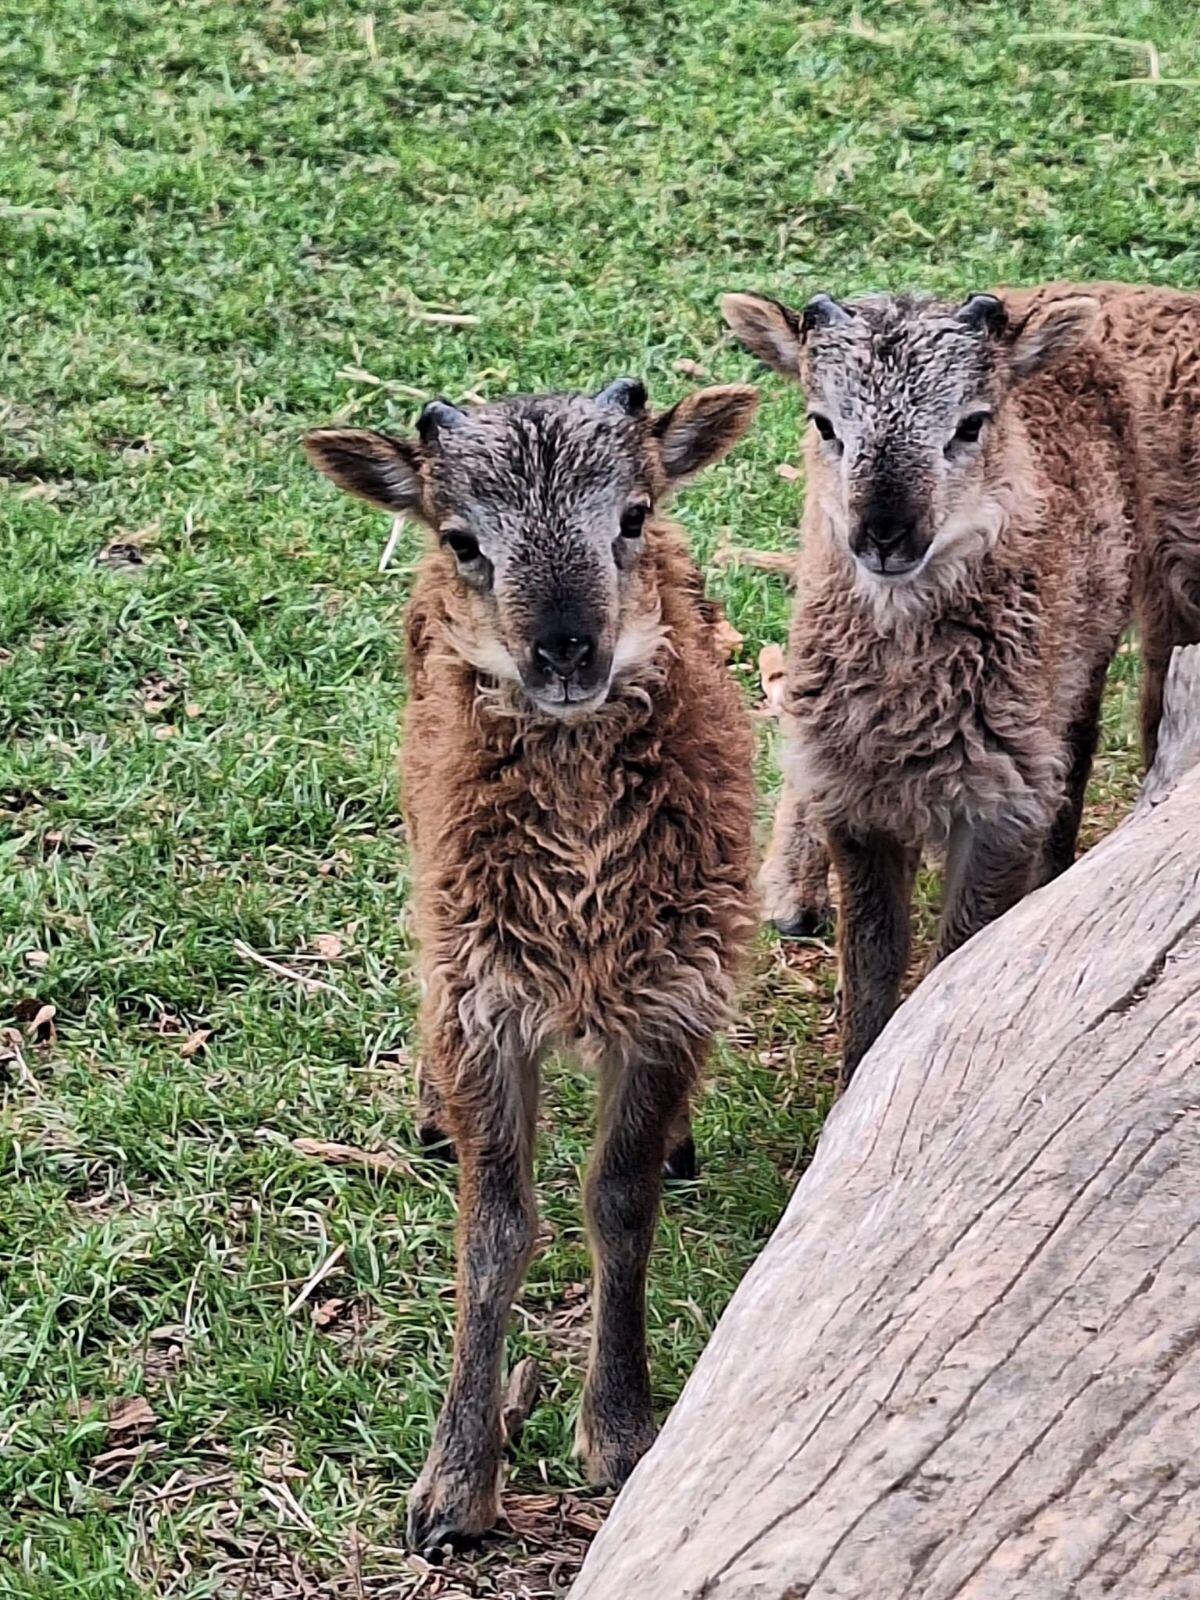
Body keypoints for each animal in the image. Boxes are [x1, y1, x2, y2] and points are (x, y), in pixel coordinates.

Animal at [304, 377, 759, 1552]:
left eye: (632, 516)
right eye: (463, 538)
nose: (564, 652)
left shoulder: (671, 996)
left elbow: (618, 1203)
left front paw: (622, 1433)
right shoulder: (484, 1001)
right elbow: (496, 1230)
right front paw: (454, 1486)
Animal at [721, 283, 1200, 1082]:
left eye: (971, 423)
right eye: (824, 423)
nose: (885, 534)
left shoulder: (1003, 800)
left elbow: (954, 957)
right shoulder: (855, 797)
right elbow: (872, 961)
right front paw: (857, 1075)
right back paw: (789, 893)